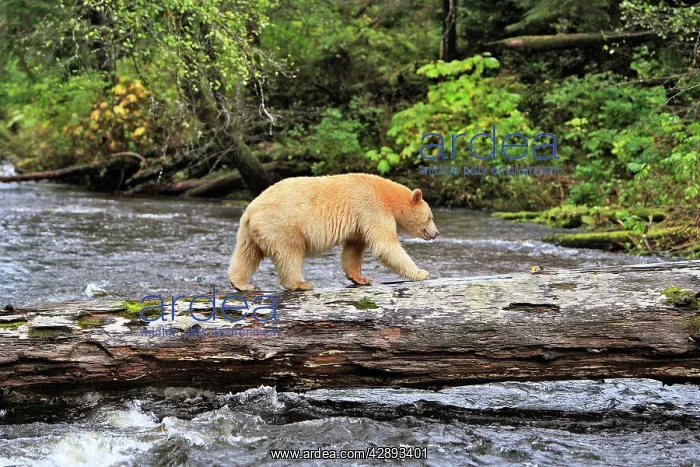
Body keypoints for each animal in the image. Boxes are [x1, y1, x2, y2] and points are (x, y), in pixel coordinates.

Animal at [227, 173, 440, 291]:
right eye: (430, 217)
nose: (436, 233)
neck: (386, 195)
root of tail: (251, 211)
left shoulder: (359, 222)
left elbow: (354, 248)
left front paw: (360, 278)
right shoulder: (372, 208)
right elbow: (385, 244)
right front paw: (421, 272)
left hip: (250, 231)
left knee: (247, 254)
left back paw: (239, 283)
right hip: (282, 225)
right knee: (290, 254)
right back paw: (300, 283)